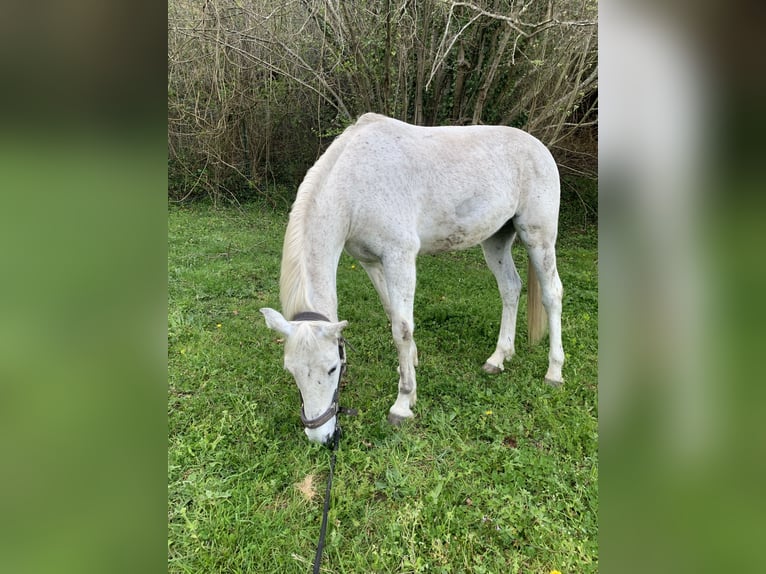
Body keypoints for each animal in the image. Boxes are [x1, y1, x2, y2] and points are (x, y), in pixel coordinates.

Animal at [261, 113, 564, 444]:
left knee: (552, 294)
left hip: (538, 237)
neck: (355, 184)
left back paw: (554, 372)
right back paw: (498, 358)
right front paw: (411, 370)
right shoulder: (371, 262)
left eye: (332, 367)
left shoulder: (400, 257)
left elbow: (402, 329)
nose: (321, 437)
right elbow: (393, 313)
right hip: (496, 239)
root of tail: (540, 147)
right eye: (291, 371)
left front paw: (403, 404)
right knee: (510, 289)